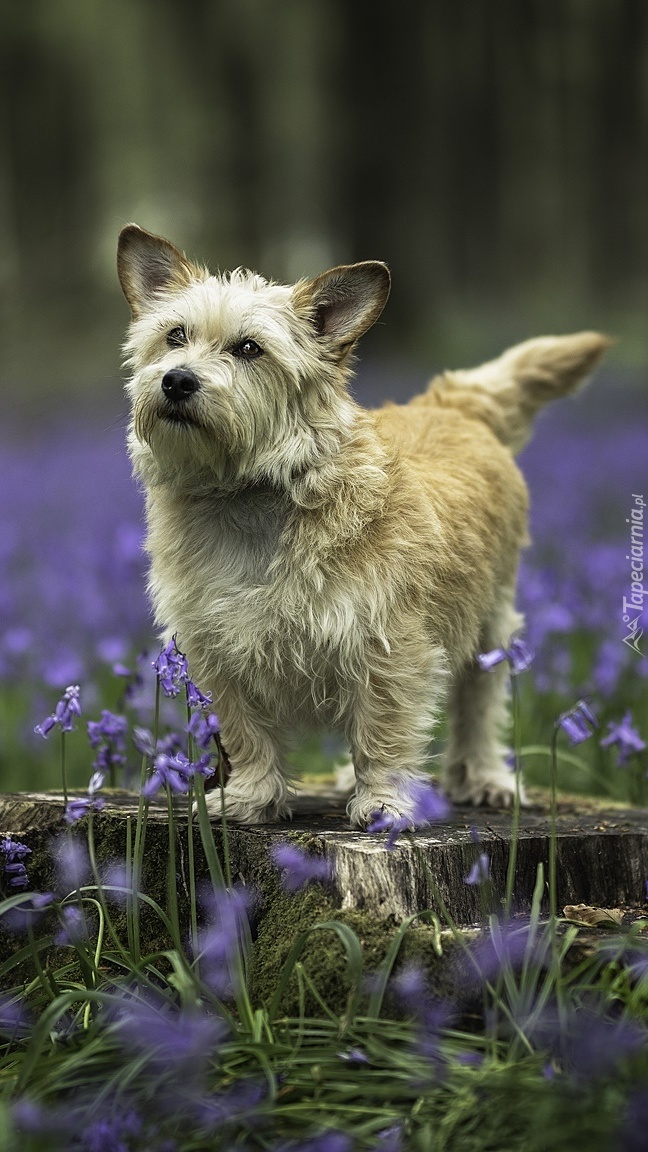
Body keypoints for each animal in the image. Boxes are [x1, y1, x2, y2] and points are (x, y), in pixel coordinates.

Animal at [115, 222, 604, 829]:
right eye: (174, 336)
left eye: (249, 348)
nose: (177, 381)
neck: (247, 496)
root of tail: (450, 403)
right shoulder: (215, 655)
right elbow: (246, 733)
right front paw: (253, 797)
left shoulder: (390, 648)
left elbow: (386, 732)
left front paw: (386, 802)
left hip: (491, 626)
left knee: (478, 706)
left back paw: (484, 778)